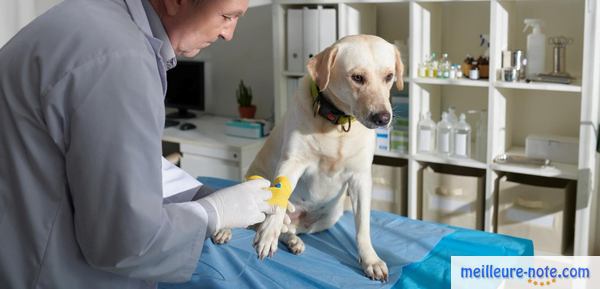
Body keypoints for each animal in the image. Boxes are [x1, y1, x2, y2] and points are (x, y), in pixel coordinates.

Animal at [211, 35, 404, 280]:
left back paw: (293, 240)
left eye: (389, 76)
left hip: (328, 217)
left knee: (288, 229)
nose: (383, 118)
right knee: (247, 218)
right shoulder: (291, 163)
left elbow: (362, 226)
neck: (337, 125)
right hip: (254, 187)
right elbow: (279, 198)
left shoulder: (360, 178)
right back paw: (227, 230)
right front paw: (268, 235)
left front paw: (370, 259)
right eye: (357, 78)